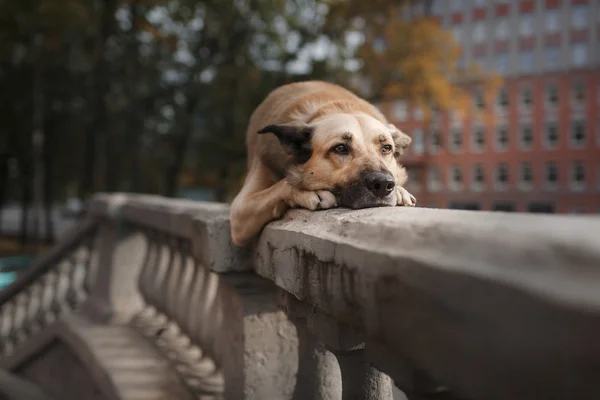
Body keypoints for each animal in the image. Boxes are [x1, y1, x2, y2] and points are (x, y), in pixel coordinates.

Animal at [230, 79, 418, 245]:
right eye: (340, 148)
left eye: (386, 148)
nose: (384, 185)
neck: (335, 106)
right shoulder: (240, 210)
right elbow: (282, 185)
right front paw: (310, 192)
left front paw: (400, 191)